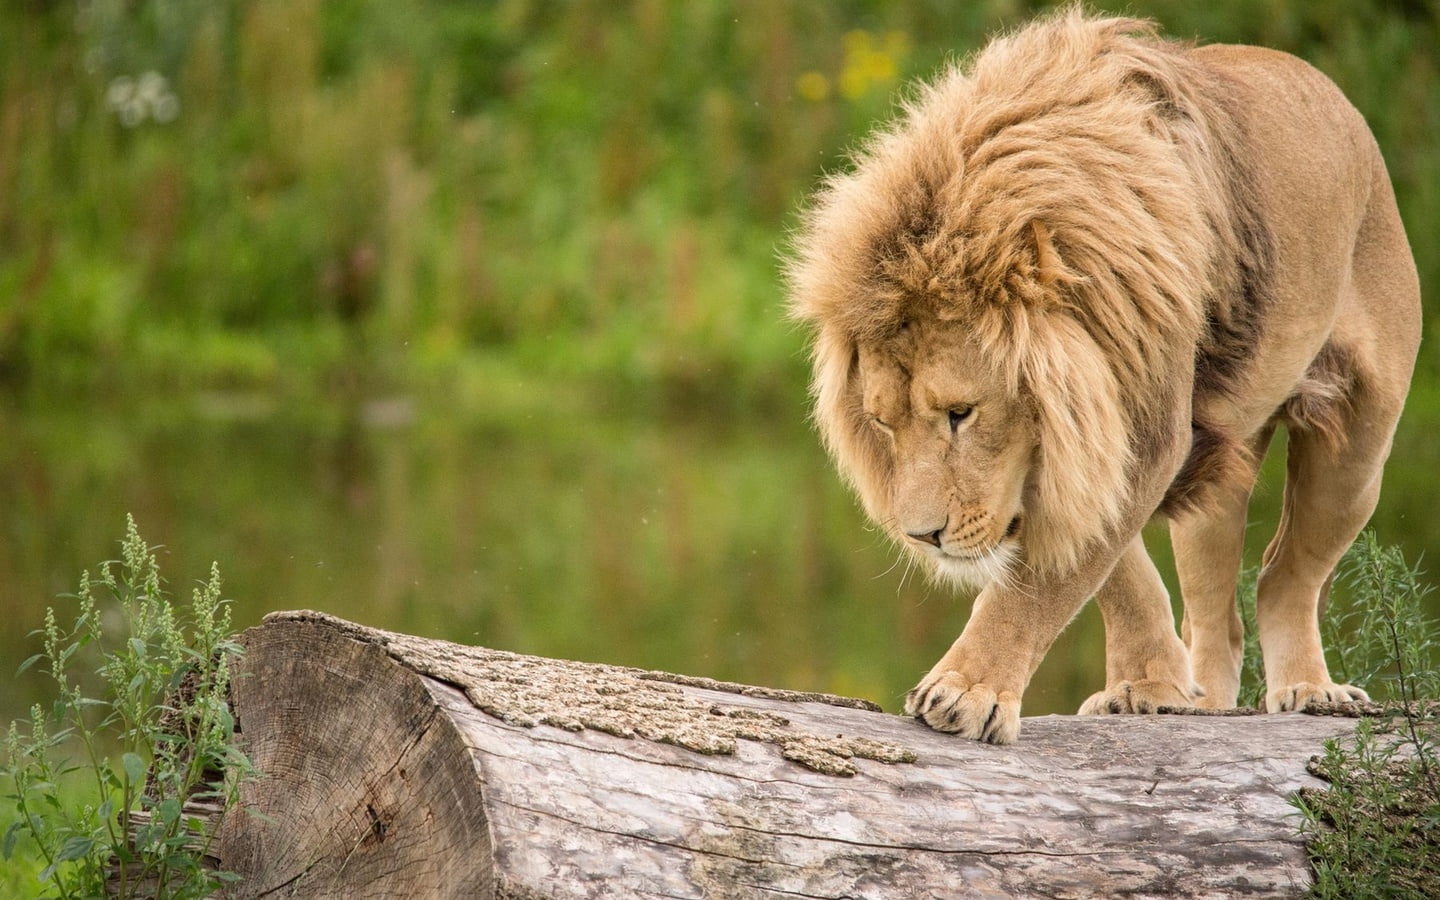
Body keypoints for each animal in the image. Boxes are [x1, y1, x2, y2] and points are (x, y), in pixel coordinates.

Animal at [786, 9, 1420, 743]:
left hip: (1357, 450)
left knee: (1286, 575)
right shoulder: (1097, 443)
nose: (921, 537)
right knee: (1218, 609)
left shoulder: (1145, 432)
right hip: (1219, 488)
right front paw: (1150, 687)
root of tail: (1340, 102)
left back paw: (1311, 690)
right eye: (884, 423)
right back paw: (1209, 700)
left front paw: (967, 691)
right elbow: (1112, 570)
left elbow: (1043, 581)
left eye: (961, 414)